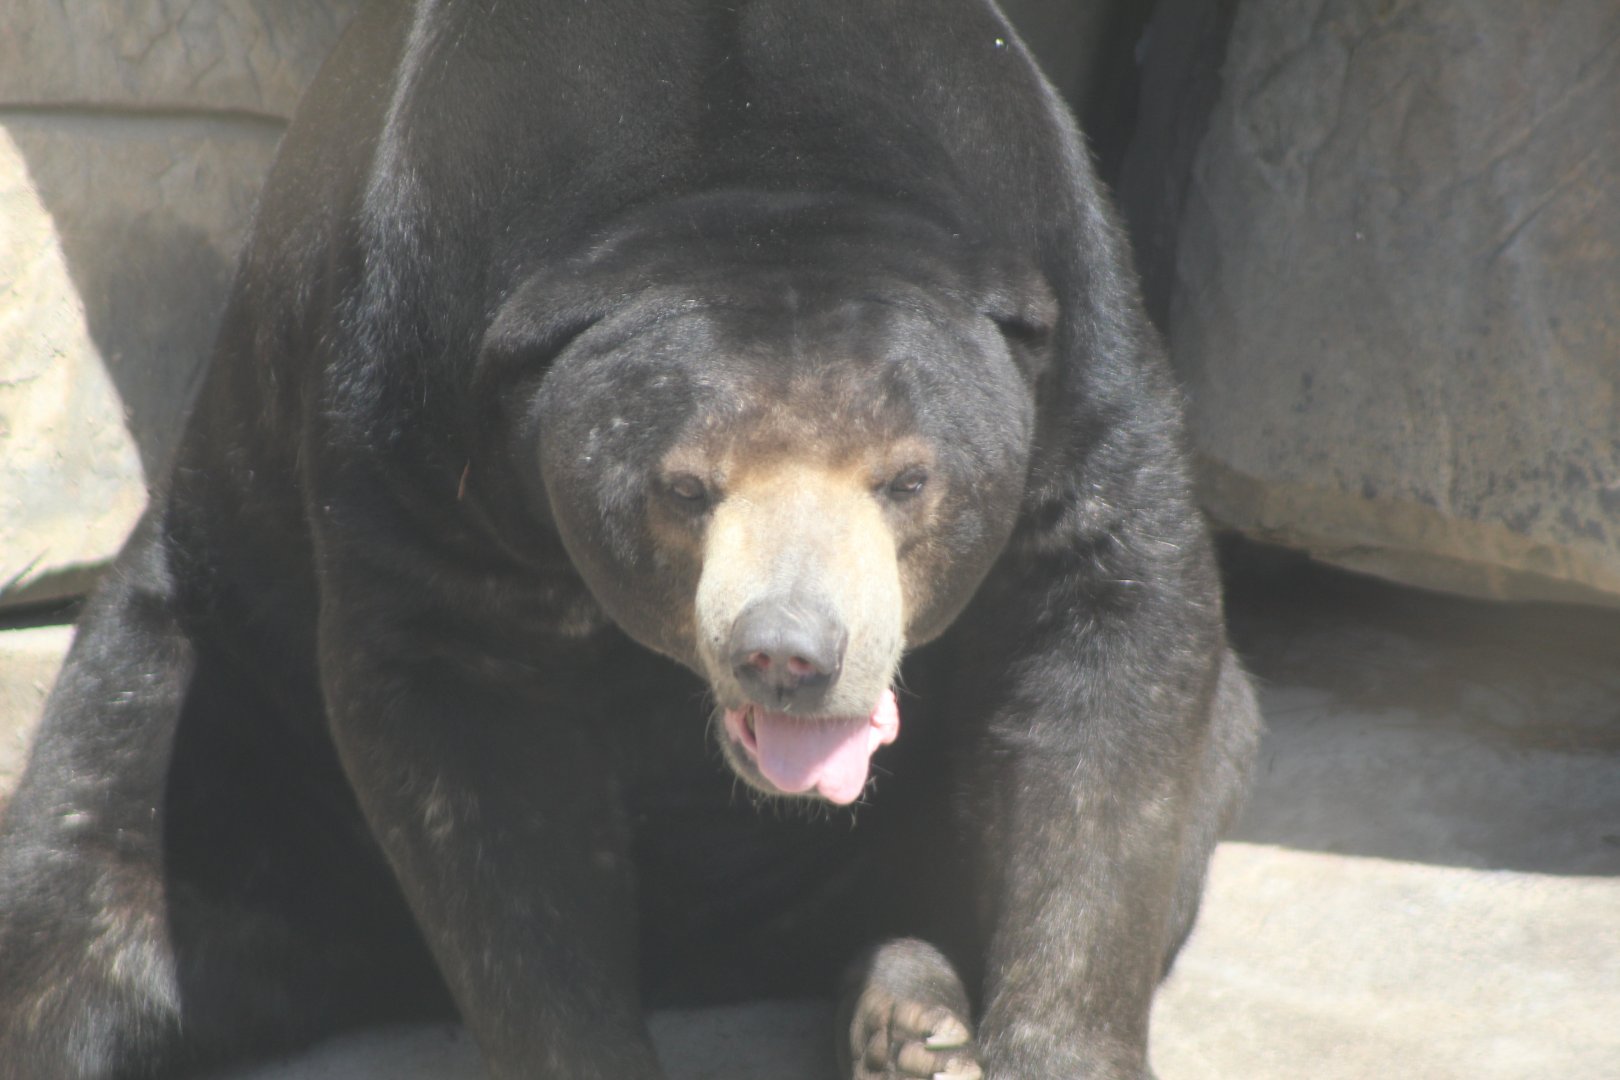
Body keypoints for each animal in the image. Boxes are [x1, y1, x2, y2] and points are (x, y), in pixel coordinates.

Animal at [0, 2, 1260, 1079]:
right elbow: (472, 762)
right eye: (686, 488)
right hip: (219, 695)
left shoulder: (1075, 321)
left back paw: (912, 1018)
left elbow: (1110, 665)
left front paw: (1050, 1043)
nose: (789, 654)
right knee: (87, 894)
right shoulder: (409, 388)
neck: (750, 153)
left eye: (907, 480)